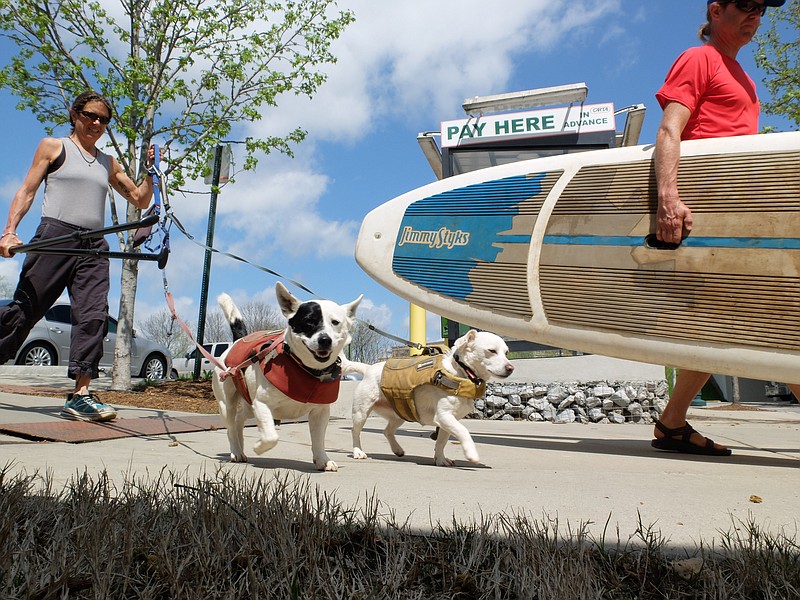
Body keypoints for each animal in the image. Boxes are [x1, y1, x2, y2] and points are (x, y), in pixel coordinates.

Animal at [212, 284, 362, 472]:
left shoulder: (320, 412)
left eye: (335, 322)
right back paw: (236, 451)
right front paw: (259, 446)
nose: (325, 339)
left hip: (249, 404)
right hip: (227, 404)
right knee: (231, 426)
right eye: (308, 321)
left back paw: (240, 446)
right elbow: (271, 436)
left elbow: (318, 439)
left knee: (239, 419)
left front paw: (322, 459)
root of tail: (238, 341)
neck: (306, 370)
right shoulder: (262, 404)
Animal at [348, 330, 512, 466]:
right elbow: (463, 431)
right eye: (491, 351)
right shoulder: (444, 416)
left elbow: (441, 442)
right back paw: (358, 451)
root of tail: (368, 369)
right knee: (355, 432)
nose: (511, 368)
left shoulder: (447, 422)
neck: (462, 373)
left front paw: (441, 459)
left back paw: (397, 449)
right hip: (361, 413)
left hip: (400, 413)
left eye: (506, 352)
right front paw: (471, 453)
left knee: (387, 431)